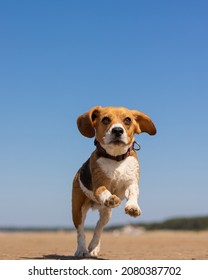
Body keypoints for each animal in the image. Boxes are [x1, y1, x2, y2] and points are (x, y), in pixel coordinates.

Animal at [71, 106, 156, 258]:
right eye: (106, 119)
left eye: (127, 120)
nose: (117, 130)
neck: (116, 159)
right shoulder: (99, 185)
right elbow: (103, 190)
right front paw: (110, 197)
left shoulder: (131, 182)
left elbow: (133, 192)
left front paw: (133, 207)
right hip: (77, 210)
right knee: (80, 231)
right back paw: (82, 250)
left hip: (106, 214)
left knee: (98, 227)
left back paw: (94, 247)